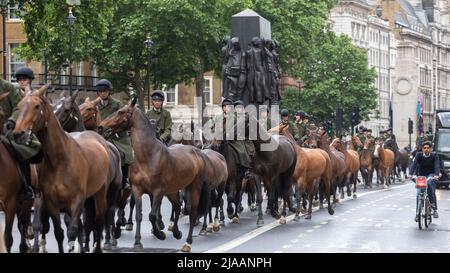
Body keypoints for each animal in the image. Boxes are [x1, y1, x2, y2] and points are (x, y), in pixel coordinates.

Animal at [12, 85, 111, 253]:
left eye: (37, 106)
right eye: (19, 106)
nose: (19, 133)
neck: (60, 160)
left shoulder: (77, 200)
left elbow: (72, 231)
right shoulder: (50, 202)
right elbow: (58, 232)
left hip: (99, 194)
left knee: (98, 221)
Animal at [98, 96, 207, 252]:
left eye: (121, 111)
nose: (101, 126)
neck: (147, 156)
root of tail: (197, 153)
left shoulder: (158, 191)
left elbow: (152, 215)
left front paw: (159, 233)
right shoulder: (137, 190)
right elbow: (139, 215)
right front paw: (137, 242)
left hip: (194, 187)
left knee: (192, 212)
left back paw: (187, 241)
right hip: (172, 191)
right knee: (177, 206)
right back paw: (176, 232)